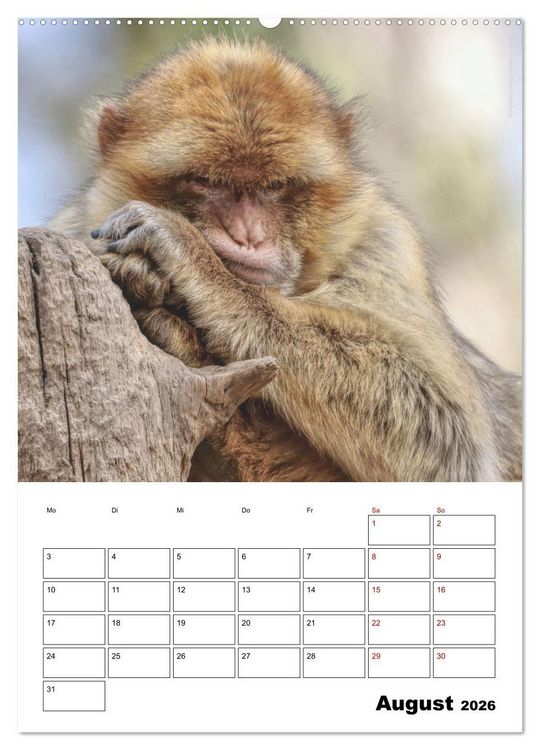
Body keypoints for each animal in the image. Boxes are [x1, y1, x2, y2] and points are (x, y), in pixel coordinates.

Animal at [50, 39, 522, 482]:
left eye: (275, 186)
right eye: (205, 182)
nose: (249, 235)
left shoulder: (386, 243)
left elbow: (449, 441)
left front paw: (188, 261)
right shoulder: (70, 231)